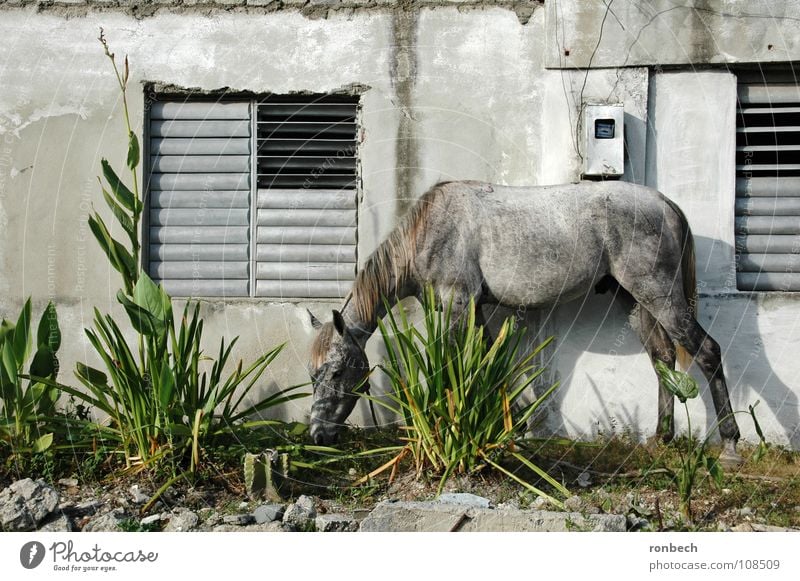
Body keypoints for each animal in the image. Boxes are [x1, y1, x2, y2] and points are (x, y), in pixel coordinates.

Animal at [308, 179, 744, 464]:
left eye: (337, 371)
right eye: (313, 375)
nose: (317, 434)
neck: (431, 231)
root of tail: (664, 202)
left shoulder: (457, 306)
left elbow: (454, 365)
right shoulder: (475, 310)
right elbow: (488, 363)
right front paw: (510, 425)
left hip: (659, 295)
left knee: (707, 352)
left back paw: (730, 446)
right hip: (635, 300)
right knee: (662, 357)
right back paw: (661, 438)